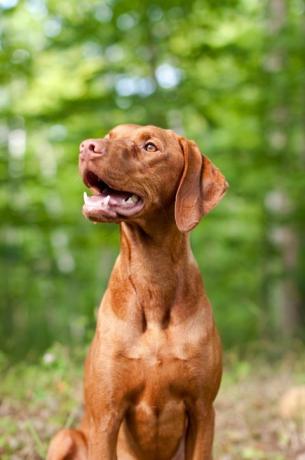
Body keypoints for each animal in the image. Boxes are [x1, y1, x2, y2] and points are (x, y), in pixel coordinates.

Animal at [47, 124, 227, 458]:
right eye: (110, 135)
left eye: (150, 147)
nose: (86, 146)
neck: (152, 279)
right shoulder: (106, 415)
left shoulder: (203, 410)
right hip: (64, 437)